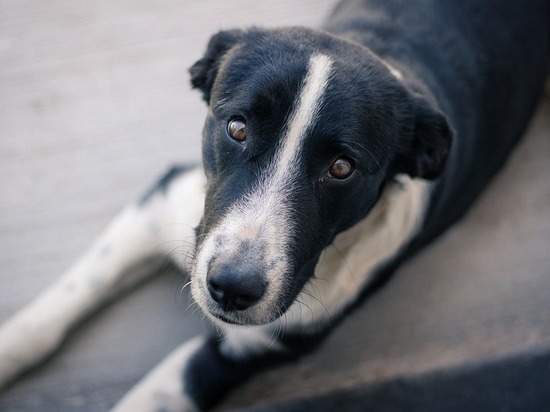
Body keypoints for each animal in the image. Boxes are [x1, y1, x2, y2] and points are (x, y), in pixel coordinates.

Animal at [1, 0, 550, 410]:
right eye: (237, 127)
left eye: (342, 167)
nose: (231, 289)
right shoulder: (160, 204)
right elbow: (59, 305)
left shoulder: (246, 349)